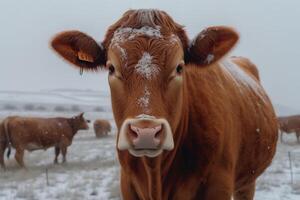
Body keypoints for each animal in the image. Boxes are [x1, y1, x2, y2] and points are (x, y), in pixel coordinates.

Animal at [50, 9, 278, 200]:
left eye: (179, 67)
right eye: (111, 68)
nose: (146, 133)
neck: (156, 173)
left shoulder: (218, 185)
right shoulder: (127, 185)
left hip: (247, 181)